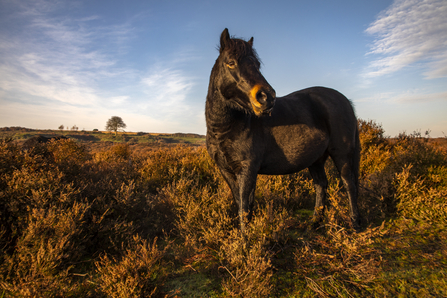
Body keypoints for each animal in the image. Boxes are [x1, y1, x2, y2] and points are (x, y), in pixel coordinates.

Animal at [207, 28, 364, 230]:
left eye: (257, 64)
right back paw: (314, 223)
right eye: (231, 63)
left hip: (341, 154)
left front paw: (245, 238)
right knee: (321, 184)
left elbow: (244, 208)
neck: (226, 129)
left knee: (348, 184)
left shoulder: (247, 169)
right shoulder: (227, 171)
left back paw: (355, 225)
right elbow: (242, 204)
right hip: (316, 159)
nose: (267, 97)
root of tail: (345, 100)